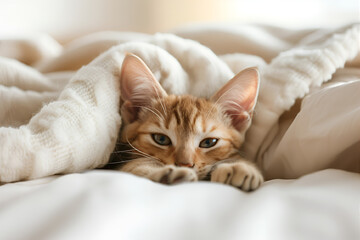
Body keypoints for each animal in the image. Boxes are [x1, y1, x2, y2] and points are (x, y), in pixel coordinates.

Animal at [108, 53, 262, 191]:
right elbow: (134, 165)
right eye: (161, 139)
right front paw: (165, 174)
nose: (184, 165)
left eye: (209, 142)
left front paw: (241, 167)